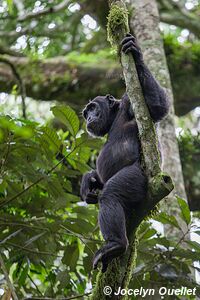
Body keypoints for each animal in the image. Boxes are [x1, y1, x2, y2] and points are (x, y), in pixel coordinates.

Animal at [79, 33, 169, 272]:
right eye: (86, 112)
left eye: (93, 107)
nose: (88, 117)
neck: (114, 116)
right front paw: (88, 181)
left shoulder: (130, 102)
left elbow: (157, 108)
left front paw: (135, 54)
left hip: (137, 178)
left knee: (111, 194)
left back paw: (115, 244)